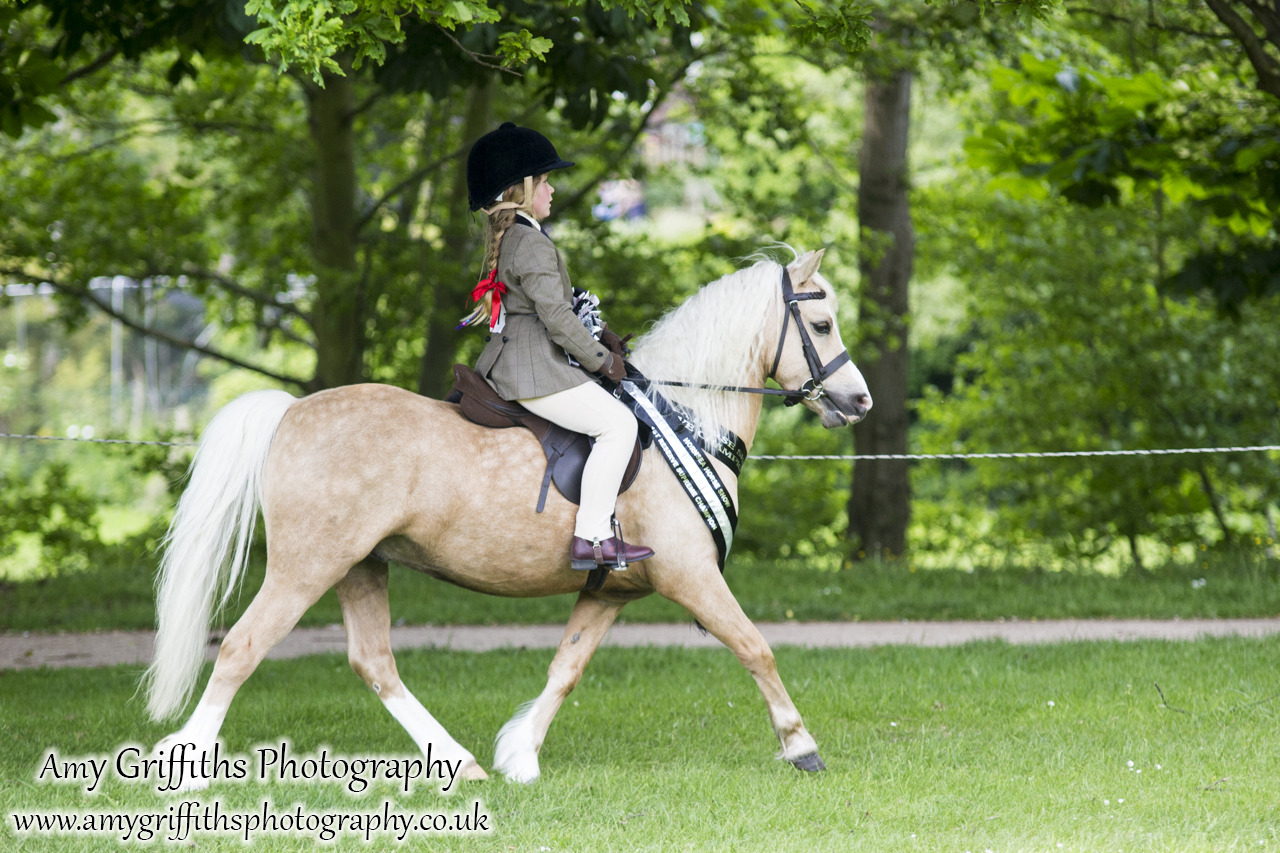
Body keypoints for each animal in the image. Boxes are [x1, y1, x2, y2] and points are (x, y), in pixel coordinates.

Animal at [147, 244, 870, 778]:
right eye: (823, 324)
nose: (858, 401)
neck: (684, 420)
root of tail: (293, 411)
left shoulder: (609, 591)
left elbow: (565, 669)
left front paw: (520, 753)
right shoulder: (690, 576)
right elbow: (756, 646)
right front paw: (800, 745)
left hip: (359, 566)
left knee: (374, 663)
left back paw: (458, 761)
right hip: (307, 566)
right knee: (242, 646)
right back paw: (185, 760)